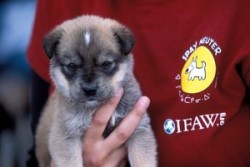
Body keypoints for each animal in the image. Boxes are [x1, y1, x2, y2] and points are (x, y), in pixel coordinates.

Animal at [35, 15, 156, 167]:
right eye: (72, 66)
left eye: (106, 64)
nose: (89, 89)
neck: (94, 108)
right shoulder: (66, 135)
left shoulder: (139, 130)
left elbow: (142, 160)